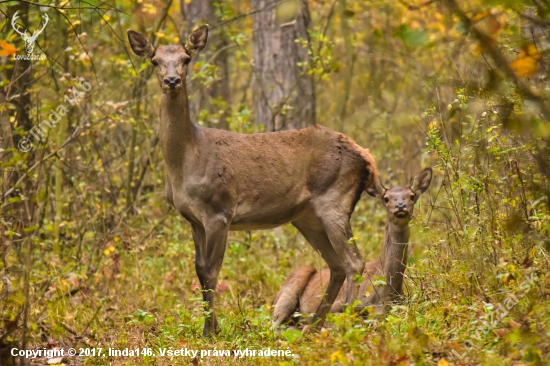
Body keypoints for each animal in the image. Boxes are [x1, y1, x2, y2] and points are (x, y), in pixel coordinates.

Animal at [128, 25, 380, 334]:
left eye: (186, 59)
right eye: (155, 61)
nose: (172, 80)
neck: (185, 163)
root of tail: (366, 157)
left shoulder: (219, 211)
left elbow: (211, 271)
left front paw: (211, 331)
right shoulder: (193, 219)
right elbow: (199, 270)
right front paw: (209, 328)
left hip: (334, 200)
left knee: (354, 262)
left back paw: (344, 324)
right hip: (307, 217)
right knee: (336, 264)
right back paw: (313, 327)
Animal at [274, 169, 434, 326]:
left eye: (412, 196)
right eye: (386, 198)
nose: (400, 206)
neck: (386, 291)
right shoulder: (339, 306)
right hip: (292, 286)